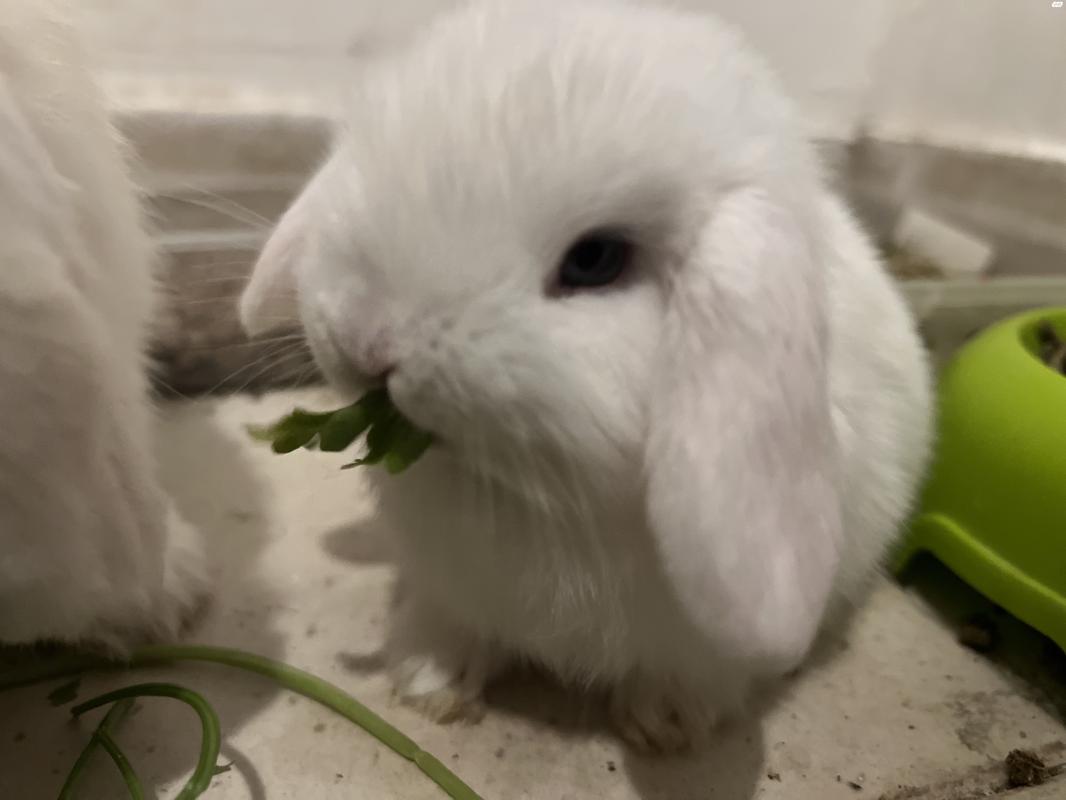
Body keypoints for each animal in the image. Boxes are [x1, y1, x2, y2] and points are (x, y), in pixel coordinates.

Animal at [241, 0, 933, 751]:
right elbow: (451, 624)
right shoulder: (448, 588)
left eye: (596, 260)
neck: (533, 491)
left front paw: (664, 726)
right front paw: (428, 683)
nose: (365, 342)